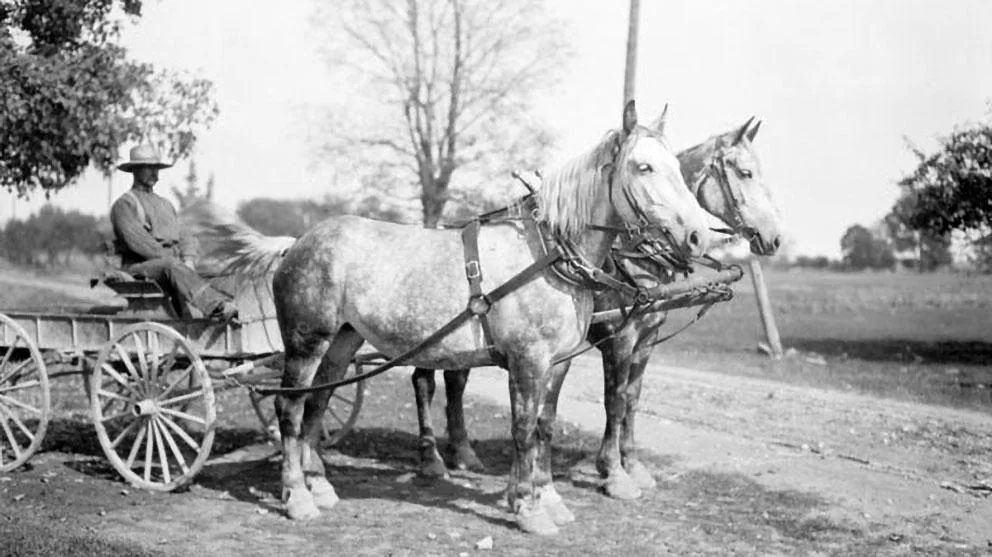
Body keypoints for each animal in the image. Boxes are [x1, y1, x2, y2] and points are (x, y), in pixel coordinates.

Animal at [216, 101, 714, 535]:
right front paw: (530, 510)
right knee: (290, 408)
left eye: (675, 166)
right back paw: (297, 496)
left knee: (318, 405)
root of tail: (294, 243)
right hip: (306, 341)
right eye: (643, 167)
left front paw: (549, 497)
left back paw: (318, 485)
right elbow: (524, 429)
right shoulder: (528, 360)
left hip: (343, 341)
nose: (698, 235)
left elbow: (545, 426)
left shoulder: (558, 362)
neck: (548, 254)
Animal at [410, 116, 783, 502]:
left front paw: (632, 464)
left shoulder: (646, 337)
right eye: (745, 172)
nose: (774, 238)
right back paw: (432, 458)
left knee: (454, 380)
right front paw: (613, 472)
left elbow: (632, 398)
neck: (634, 253)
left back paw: (462, 453)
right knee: (424, 381)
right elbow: (614, 401)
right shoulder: (620, 338)